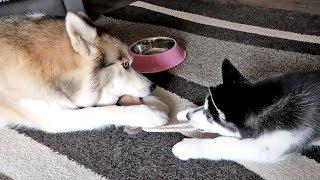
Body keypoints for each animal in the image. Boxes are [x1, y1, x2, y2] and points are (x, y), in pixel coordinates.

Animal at [0, 11, 170, 132]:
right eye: (126, 65)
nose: (153, 86)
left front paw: (156, 101)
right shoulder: (54, 117)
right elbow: (104, 111)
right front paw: (149, 113)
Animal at [172, 59, 320, 162]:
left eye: (209, 116)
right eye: (205, 105)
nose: (188, 115)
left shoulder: (270, 147)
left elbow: (222, 143)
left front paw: (186, 147)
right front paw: (183, 113)